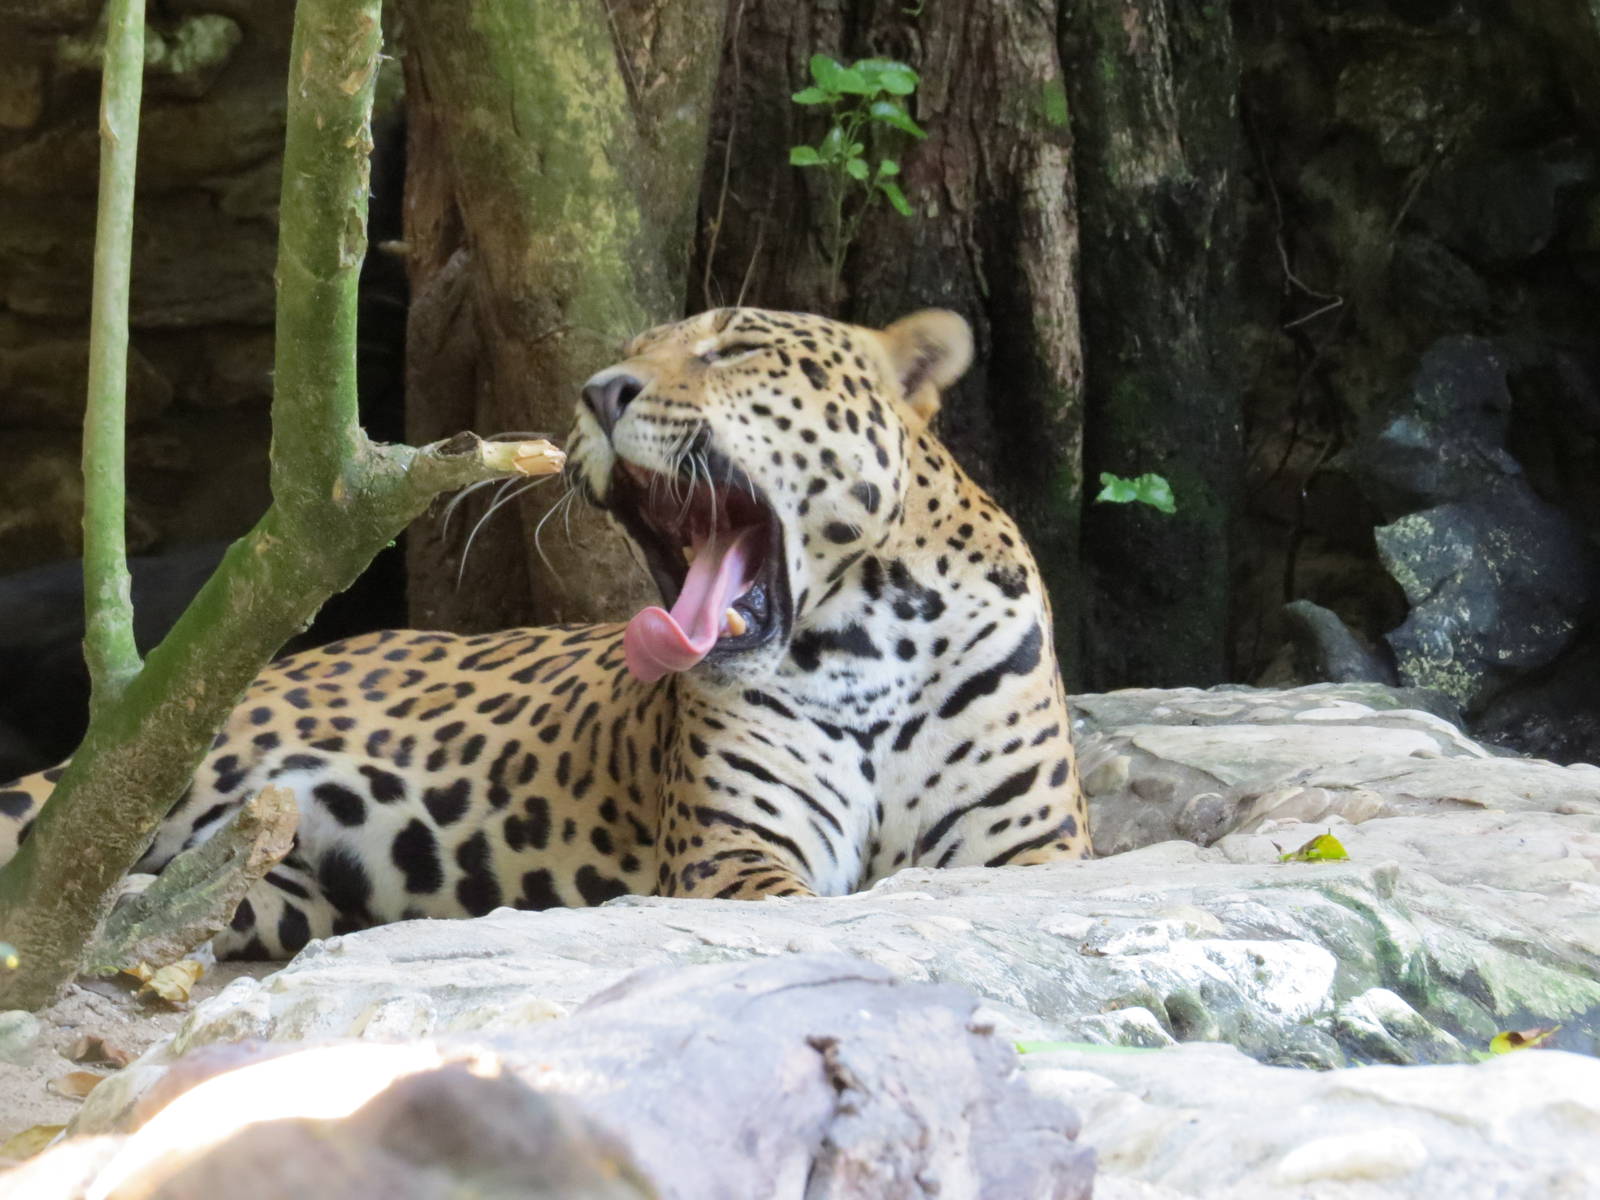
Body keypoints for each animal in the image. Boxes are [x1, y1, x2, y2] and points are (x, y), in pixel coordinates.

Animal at [0, 307, 1089, 959]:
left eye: (736, 349)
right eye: (630, 352)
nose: (601, 392)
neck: (868, 644)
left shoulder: (1034, 853)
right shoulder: (732, 854)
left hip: (274, 892)